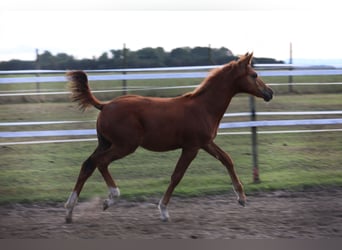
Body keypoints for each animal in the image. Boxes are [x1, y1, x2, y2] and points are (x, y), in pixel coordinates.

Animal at [63, 52, 272, 223]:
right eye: (254, 75)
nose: (269, 92)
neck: (203, 107)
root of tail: (104, 105)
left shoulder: (206, 143)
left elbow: (227, 160)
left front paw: (242, 198)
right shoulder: (191, 147)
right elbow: (177, 176)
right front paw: (163, 210)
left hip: (106, 143)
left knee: (88, 165)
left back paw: (69, 211)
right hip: (124, 146)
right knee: (101, 162)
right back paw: (110, 199)